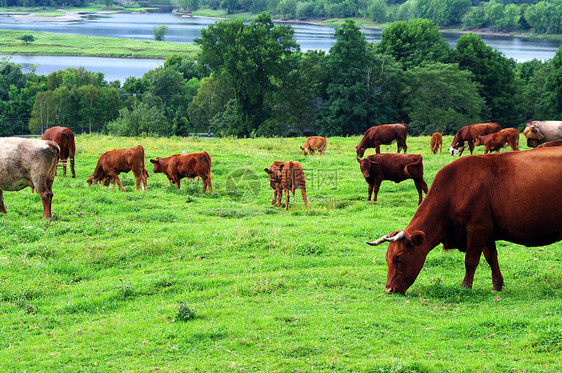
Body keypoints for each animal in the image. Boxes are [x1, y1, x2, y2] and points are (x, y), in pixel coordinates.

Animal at [368, 146, 560, 294]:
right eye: (387, 258)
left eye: (399, 257)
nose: (389, 289)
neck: (454, 189)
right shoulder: (487, 232)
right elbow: (491, 258)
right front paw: (497, 285)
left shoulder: (477, 228)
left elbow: (470, 260)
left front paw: (465, 286)